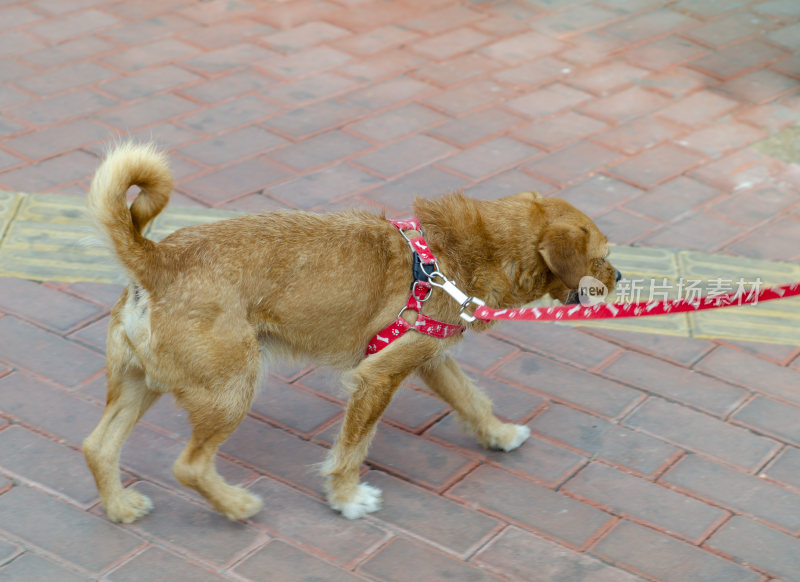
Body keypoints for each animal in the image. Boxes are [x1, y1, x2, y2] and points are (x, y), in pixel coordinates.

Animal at [81, 145, 620, 524]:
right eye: (603, 255)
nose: (620, 278)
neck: (467, 250)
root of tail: (156, 260)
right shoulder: (376, 378)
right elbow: (353, 448)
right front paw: (346, 498)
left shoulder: (429, 358)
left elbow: (471, 399)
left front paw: (499, 434)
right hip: (230, 389)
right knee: (189, 466)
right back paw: (236, 506)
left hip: (139, 384)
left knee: (98, 446)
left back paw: (120, 507)